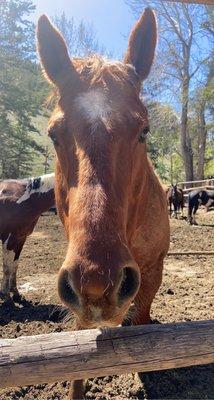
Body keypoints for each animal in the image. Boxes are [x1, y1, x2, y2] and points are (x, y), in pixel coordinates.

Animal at [0, 173, 55, 302]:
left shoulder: (20, 239)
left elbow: (14, 265)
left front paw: (15, 292)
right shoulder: (8, 239)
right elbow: (7, 267)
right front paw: (6, 295)